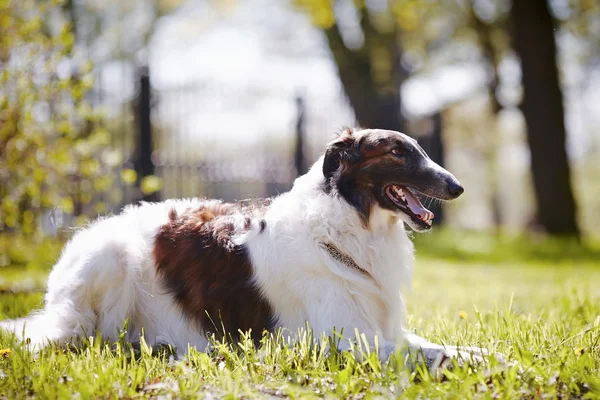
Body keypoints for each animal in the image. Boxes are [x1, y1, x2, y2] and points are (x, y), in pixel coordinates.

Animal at [0, 128, 488, 368]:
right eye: (398, 153)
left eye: (418, 149)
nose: (458, 187)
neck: (341, 229)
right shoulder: (345, 341)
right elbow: (435, 353)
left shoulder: (378, 328)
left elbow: (439, 346)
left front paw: (486, 356)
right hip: (111, 260)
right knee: (78, 340)